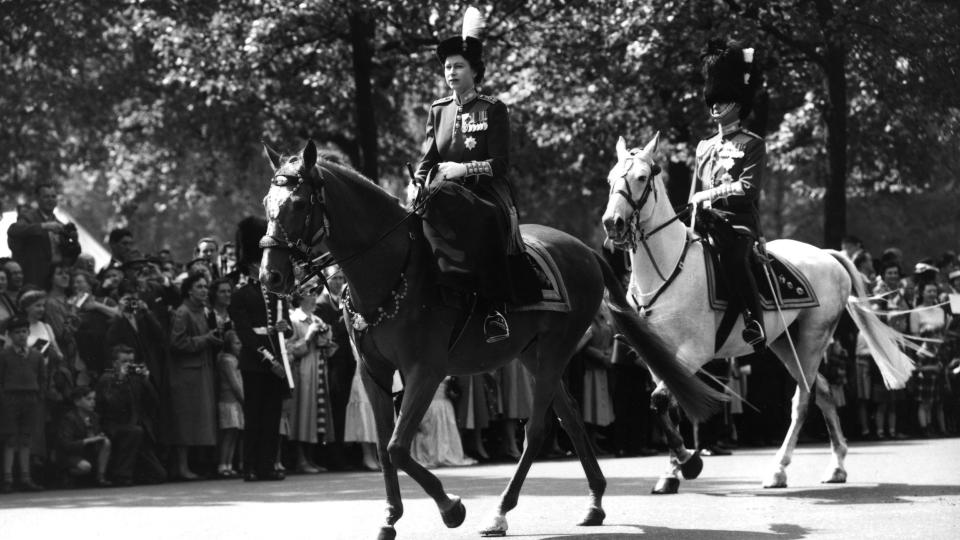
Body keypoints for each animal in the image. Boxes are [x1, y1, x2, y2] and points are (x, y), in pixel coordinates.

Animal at [255, 141, 720, 536]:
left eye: (298, 203)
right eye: (266, 204)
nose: (270, 277)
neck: (391, 272)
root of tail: (585, 250)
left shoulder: (425, 370)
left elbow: (398, 446)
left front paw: (450, 508)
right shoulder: (373, 373)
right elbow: (386, 448)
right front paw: (390, 517)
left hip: (553, 350)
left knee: (538, 430)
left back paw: (500, 510)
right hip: (535, 355)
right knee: (569, 418)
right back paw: (594, 501)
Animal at [600, 133, 916, 492]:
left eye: (641, 177)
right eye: (610, 179)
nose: (612, 224)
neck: (667, 271)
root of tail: (827, 255)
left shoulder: (694, 352)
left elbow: (662, 401)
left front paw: (687, 463)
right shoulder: (657, 356)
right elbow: (669, 405)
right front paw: (673, 470)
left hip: (811, 339)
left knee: (804, 398)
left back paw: (778, 469)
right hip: (785, 342)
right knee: (822, 392)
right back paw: (836, 466)